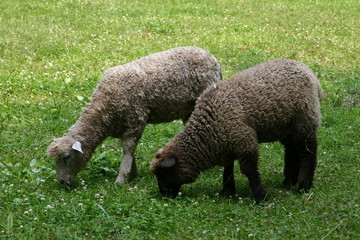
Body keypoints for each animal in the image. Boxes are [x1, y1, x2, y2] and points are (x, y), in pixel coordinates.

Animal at [46, 46, 221, 186]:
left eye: (66, 157)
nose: (62, 182)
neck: (102, 108)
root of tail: (211, 57)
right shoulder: (122, 127)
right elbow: (129, 152)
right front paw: (132, 174)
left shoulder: (135, 121)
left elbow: (128, 151)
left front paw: (121, 179)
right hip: (188, 109)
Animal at [150, 58, 322, 202]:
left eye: (163, 174)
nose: (163, 194)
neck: (208, 129)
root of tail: (308, 71)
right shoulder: (227, 141)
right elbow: (228, 167)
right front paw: (228, 190)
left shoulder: (244, 140)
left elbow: (249, 171)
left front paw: (261, 196)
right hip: (285, 125)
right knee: (292, 150)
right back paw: (289, 181)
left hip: (305, 118)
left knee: (308, 151)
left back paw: (304, 186)